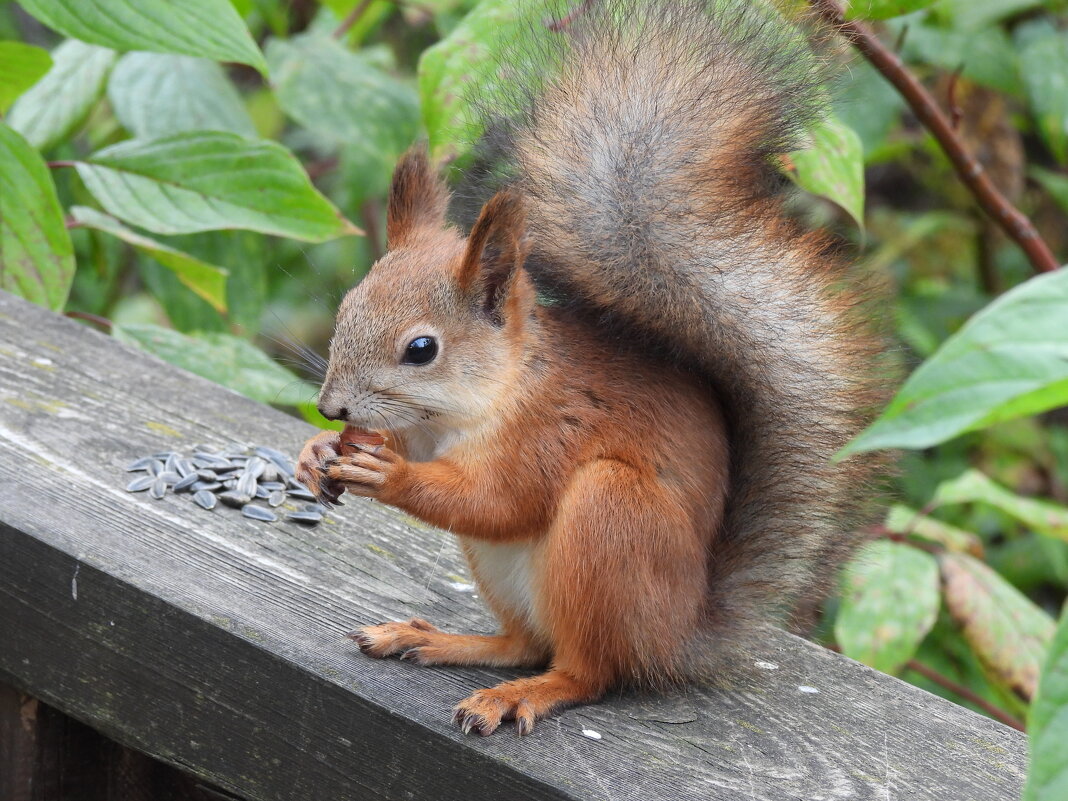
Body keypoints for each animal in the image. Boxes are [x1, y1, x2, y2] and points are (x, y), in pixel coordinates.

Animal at [292, 0, 884, 739]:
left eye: (421, 349)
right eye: (347, 307)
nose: (332, 407)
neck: (476, 403)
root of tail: (679, 636)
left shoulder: (553, 429)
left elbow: (497, 501)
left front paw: (387, 472)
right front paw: (317, 450)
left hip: (611, 519)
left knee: (588, 671)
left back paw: (521, 694)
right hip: (502, 570)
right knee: (525, 643)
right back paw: (440, 640)